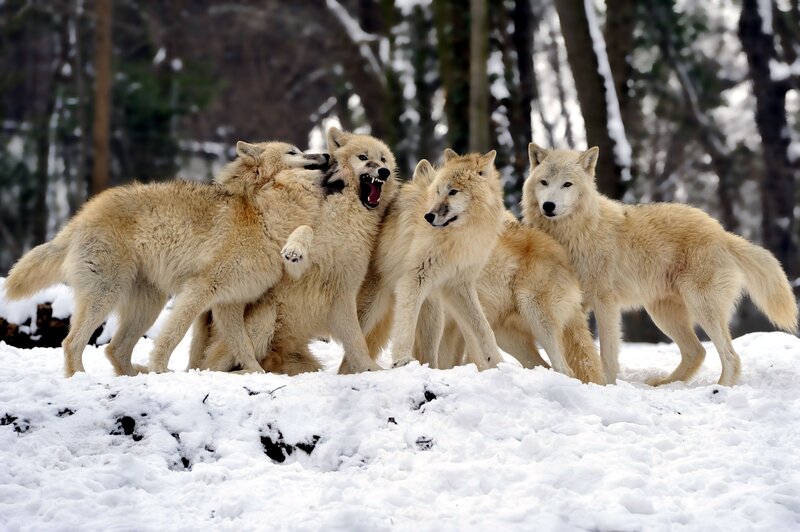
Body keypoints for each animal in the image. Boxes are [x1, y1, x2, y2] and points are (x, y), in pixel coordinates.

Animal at [4, 141, 328, 377]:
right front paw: (160, 369)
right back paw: (82, 379)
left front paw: (257, 374)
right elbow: (173, 336)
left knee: (114, 350)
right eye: (293, 152)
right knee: (72, 343)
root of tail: (80, 216)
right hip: (107, 296)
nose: (326, 154)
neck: (262, 216)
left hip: (148, 304)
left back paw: (134, 377)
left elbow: (244, 347)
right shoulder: (200, 290)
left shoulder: (229, 304)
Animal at [192, 128, 399, 375]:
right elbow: (305, 229)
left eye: (383, 159)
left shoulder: (344, 291)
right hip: (265, 318)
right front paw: (294, 249)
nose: (384, 171)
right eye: (363, 157)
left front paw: (369, 369)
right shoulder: (297, 265)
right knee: (217, 366)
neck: (347, 215)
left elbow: (357, 341)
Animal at [358, 149, 506, 370]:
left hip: (434, 316)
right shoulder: (414, 278)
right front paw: (402, 360)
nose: (428, 216)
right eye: (438, 191)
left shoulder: (459, 285)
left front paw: (498, 362)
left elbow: (484, 328)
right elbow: (405, 326)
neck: (460, 236)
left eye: (453, 192)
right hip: (369, 309)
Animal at [522, 144, 798, 386]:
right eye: (544, 182)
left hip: (700, 308)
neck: (575, 233)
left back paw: (720, 389)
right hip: (663, 314)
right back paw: (666, 384)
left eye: (567, 184)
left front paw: (606, 385)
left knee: (731, 356)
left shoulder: (605, 302)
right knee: (697, 351)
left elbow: (607, 353)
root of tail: (723, 233)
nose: (549, 206)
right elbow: (576, 349)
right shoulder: (574, 304)